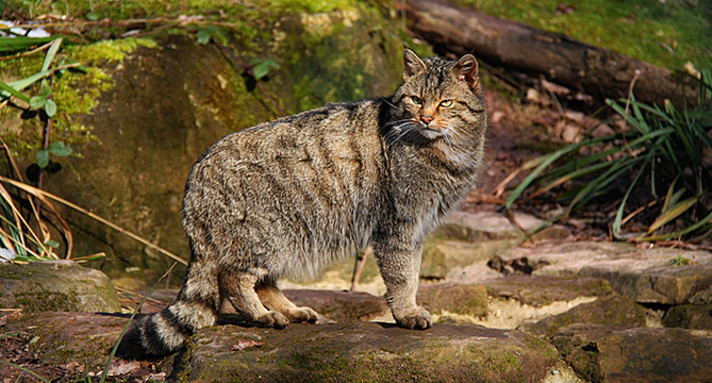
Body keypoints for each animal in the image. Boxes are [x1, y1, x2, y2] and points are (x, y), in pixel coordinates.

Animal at [117, 48, 486, 360]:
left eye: (446, 102)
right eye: (416, 99)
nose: (425, 118)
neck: (445, 151)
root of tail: (195, 173)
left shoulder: (418, 226)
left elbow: (413, 272)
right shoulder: (399, 225)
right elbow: (403, 276)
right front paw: (407, 313)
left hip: (283, 238)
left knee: (264, 282)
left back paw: (289, 310)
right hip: (266, 234)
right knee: (232, 277)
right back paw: (261, 316)